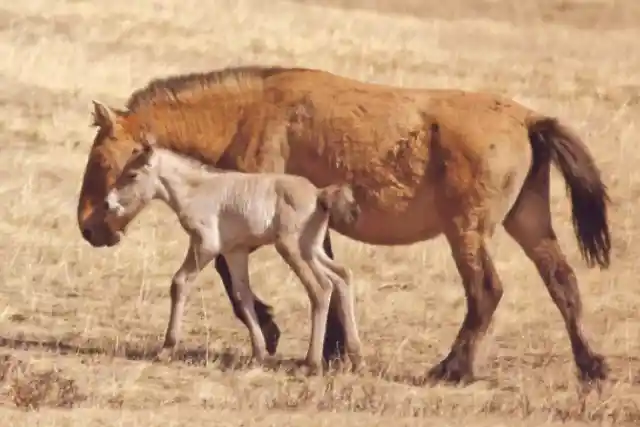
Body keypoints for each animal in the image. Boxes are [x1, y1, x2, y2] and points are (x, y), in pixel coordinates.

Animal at [105, 143, 364, 372]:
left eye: (132, 174)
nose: (108, 203)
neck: (195, 190)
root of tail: (319, 194)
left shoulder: (205, 246)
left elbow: (179, 283)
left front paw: (167, 348)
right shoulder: (234, 251)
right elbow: (242, 295)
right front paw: (258, 354)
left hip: (291, 248)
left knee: (320, 288)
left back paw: (310, 364)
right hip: (312, 249)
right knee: (341, 276)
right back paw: (357, 358)